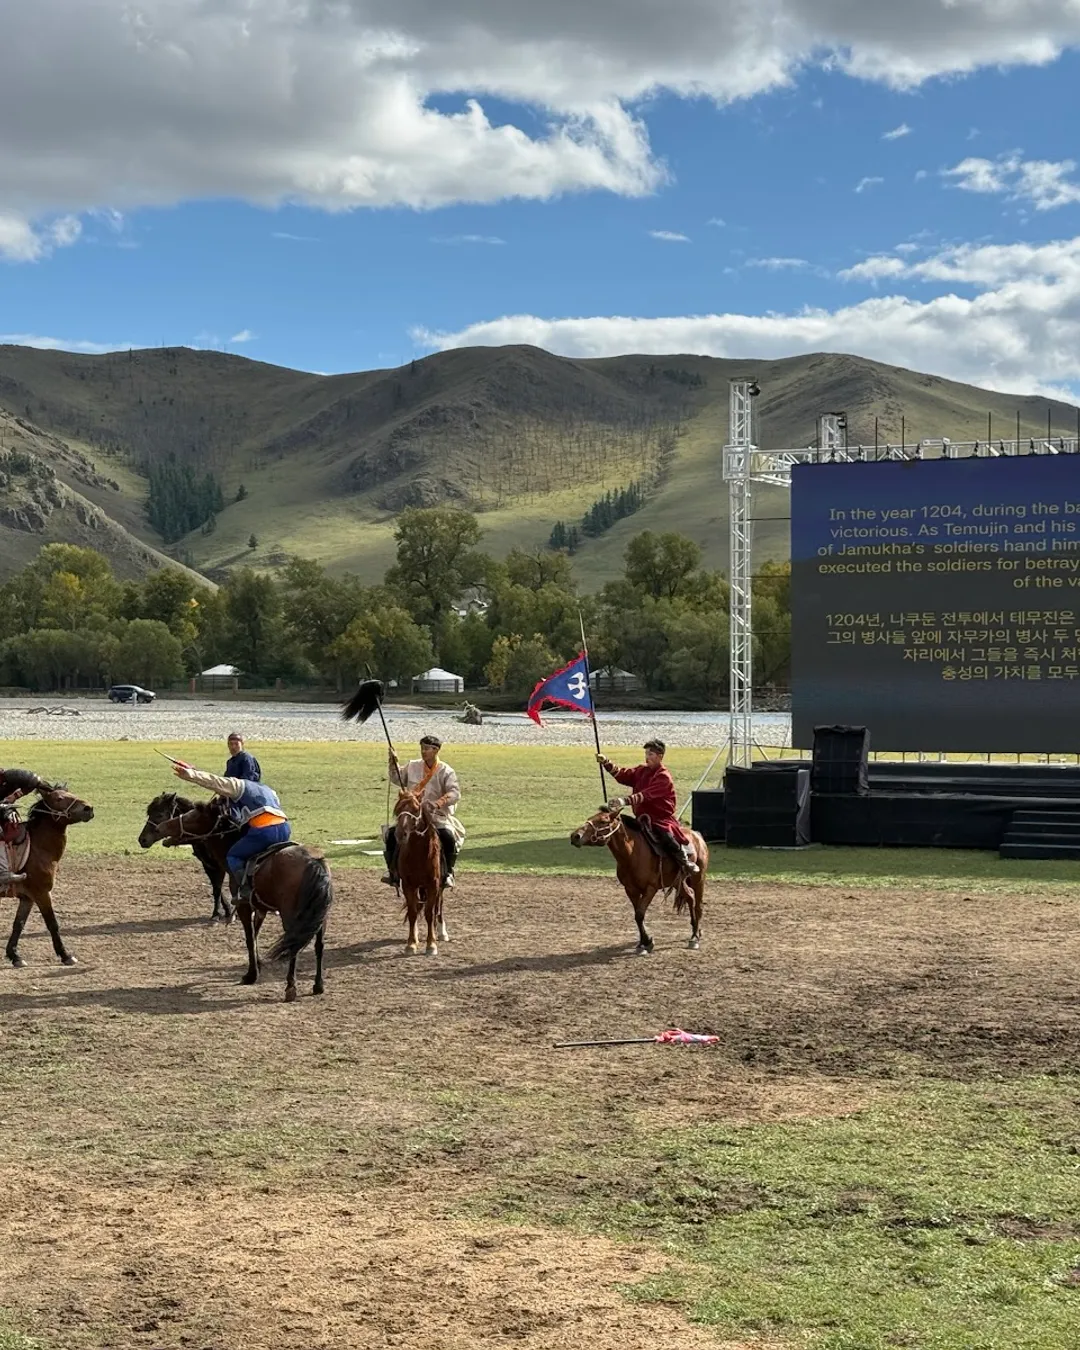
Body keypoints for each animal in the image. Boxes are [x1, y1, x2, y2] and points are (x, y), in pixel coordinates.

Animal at [5, 783, 95, 969]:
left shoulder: (28, 898)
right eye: (59, 798)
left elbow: (18, 924)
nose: (88, 808)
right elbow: (52, 923)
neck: (38, 847)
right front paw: (65, 955)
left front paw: (15, 955)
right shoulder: (42, 893)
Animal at [138, 791, 239, 922]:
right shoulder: (208, 865)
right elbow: (216, 888)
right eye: (150, 813)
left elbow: (220, 887)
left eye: (160, 814)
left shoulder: (221, 865)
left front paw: (221, 913)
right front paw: (223, 911)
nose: (142, 840)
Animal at [155, 797, 331, 1001]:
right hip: (320, 916)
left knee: (293, 945)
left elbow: (249, 938)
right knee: (319, 945)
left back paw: (290, 987)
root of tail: (314, 861)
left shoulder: (244, 907)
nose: (160, 827)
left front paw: (251, 975)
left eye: (192, 816)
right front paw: (256, 966)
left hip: (292, 916)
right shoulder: (260, 908)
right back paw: (318, 985)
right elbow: (255, 935)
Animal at [393, 787, 449, 956]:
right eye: (398, 809)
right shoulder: (408, 885)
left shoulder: (433, 885)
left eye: (416, 809)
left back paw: (441, 932)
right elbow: (413, 912)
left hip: (439, 886)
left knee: (439, 906)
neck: (418, 854)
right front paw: (411, 943)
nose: (400, 834)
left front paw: (431, 944)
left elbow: (429, 913)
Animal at [570, 807, 708, 955]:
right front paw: (643, 943)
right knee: (690, 897)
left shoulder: (650, 888)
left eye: (603, 821)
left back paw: (695, 938)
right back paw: (696, 930)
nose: (575, 836)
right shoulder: (631, 890)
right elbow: (637, 915)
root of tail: (697, 836)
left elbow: (640, 914)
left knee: (698, 905)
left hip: (698, 878)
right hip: (678, 882)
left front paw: (647, 942)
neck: (632, 853)